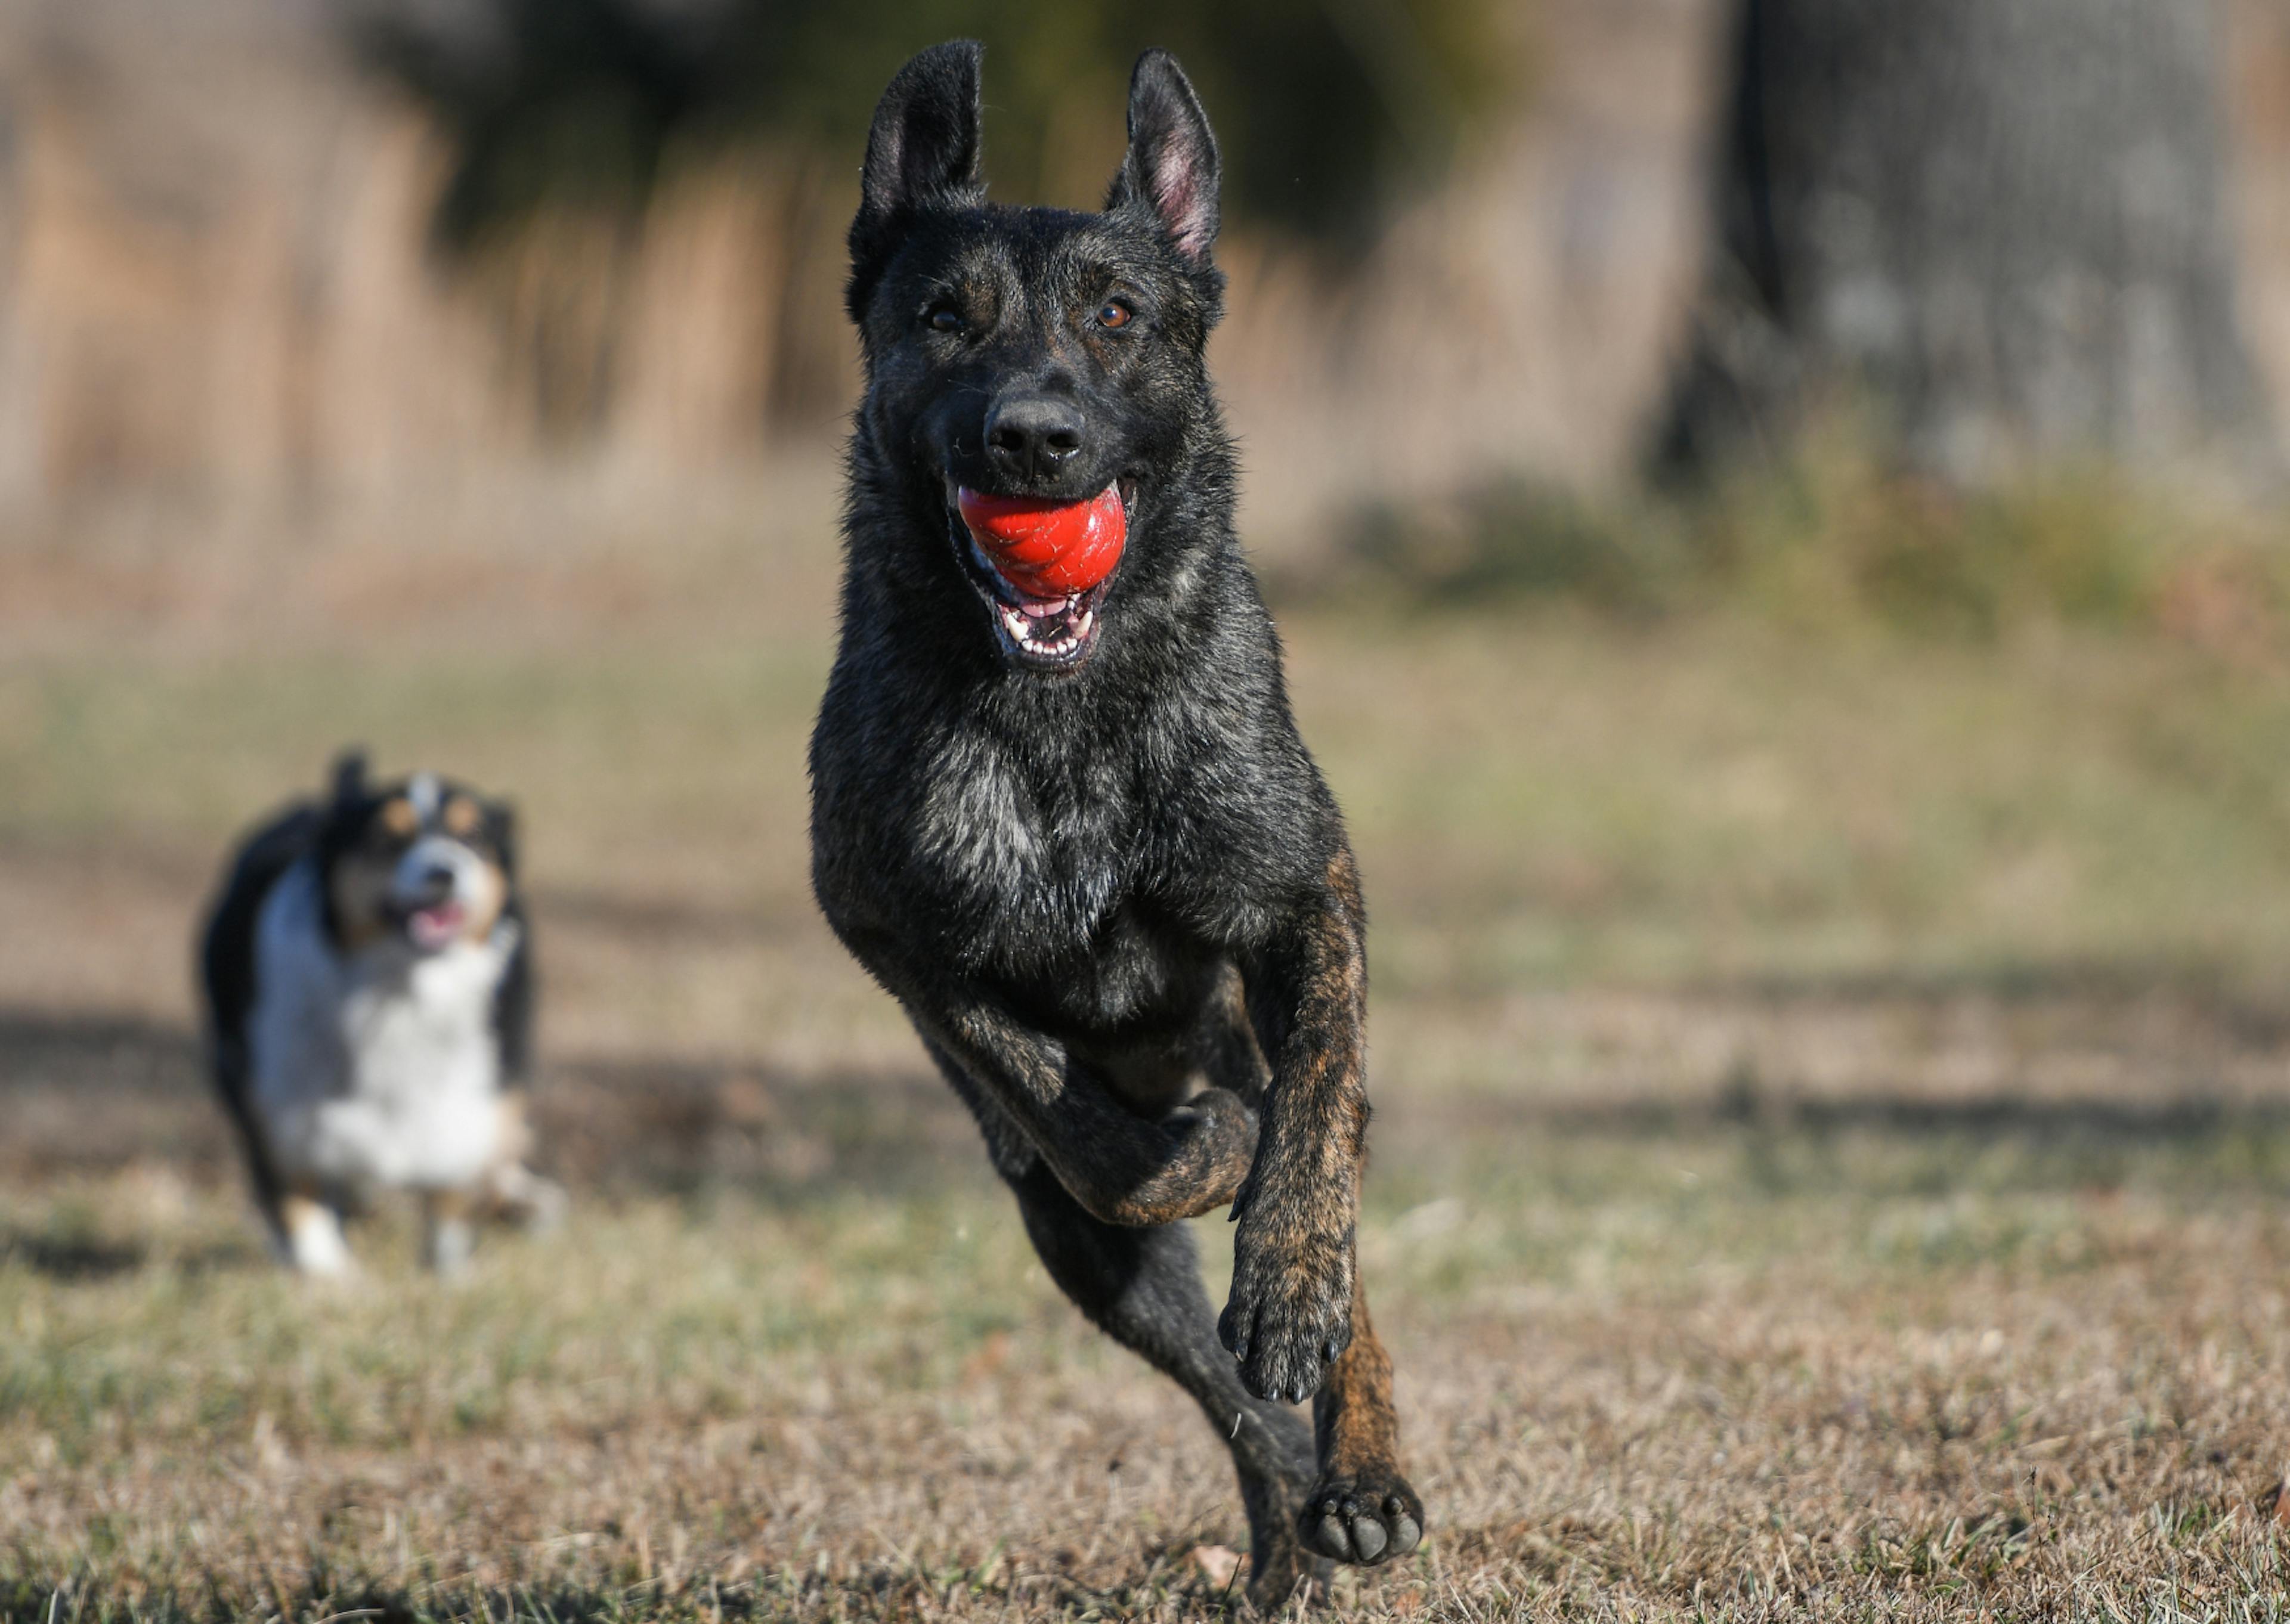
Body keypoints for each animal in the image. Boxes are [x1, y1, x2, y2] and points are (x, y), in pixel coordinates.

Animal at [198, 746, 563, 1264]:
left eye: (472, 836)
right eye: (387, 838)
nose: (443, 872)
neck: (401, 994)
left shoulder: (470, 1113)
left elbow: (450, 1207)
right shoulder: (272, 1116)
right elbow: (301, 1213)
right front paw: (333, 1277)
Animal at [806, 44, 1410, 1603]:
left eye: (1118, 315)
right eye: (943, 319)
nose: (1034, 436)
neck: (1064, 721)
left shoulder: (1302, 889)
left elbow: (1315, 1114)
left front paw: (1286, 1260)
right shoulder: (897, 938)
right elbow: (1068, 1114)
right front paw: (1189, 1151)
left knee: (1330, 1258)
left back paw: (1362, 1472)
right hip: (1084, 1261)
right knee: (1226, 1392)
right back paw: (1285, 1542)